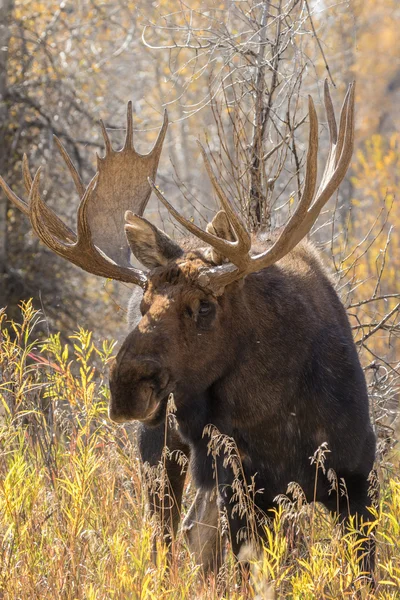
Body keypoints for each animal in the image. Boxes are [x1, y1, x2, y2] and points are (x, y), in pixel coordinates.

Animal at [0, 82, 376, 580]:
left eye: (204, 307)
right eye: (142, 305)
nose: (125, 385)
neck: (280, 415)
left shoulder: (357, 477)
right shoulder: (243, 487)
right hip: (161, 453)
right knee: (167, 537)